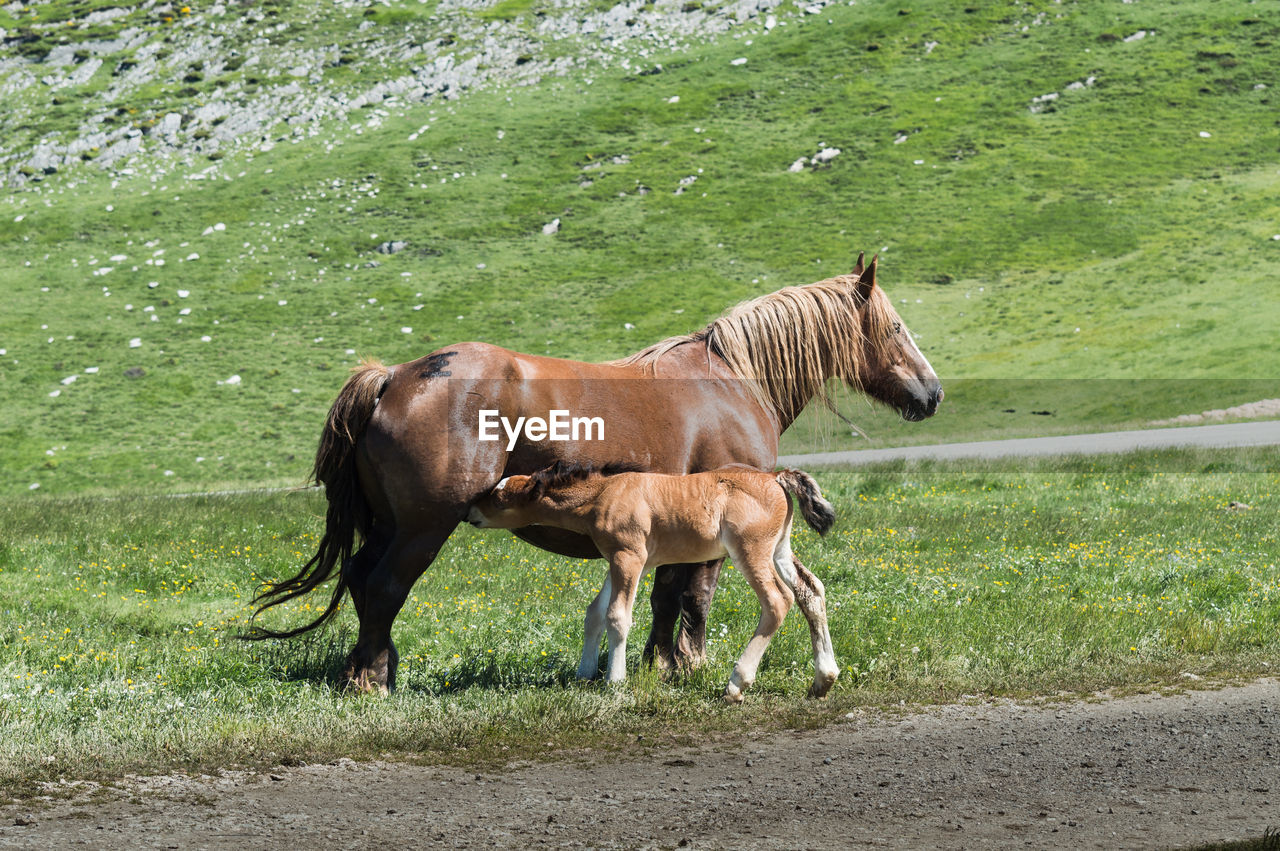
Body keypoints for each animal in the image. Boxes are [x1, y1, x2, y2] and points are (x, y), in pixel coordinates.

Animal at [468, 460, 839, 701]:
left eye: (499, 497)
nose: (470, 513)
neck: (603, 494)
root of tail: (776, 478)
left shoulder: (627, 556)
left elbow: (617, 616)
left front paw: (614, 682)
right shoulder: (630, 561)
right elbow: (594, 612)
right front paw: (584, 674)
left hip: (750, 551)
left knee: (778, 601)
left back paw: (736, 685)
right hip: (779, 549)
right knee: (811, 591)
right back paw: (823, 680)